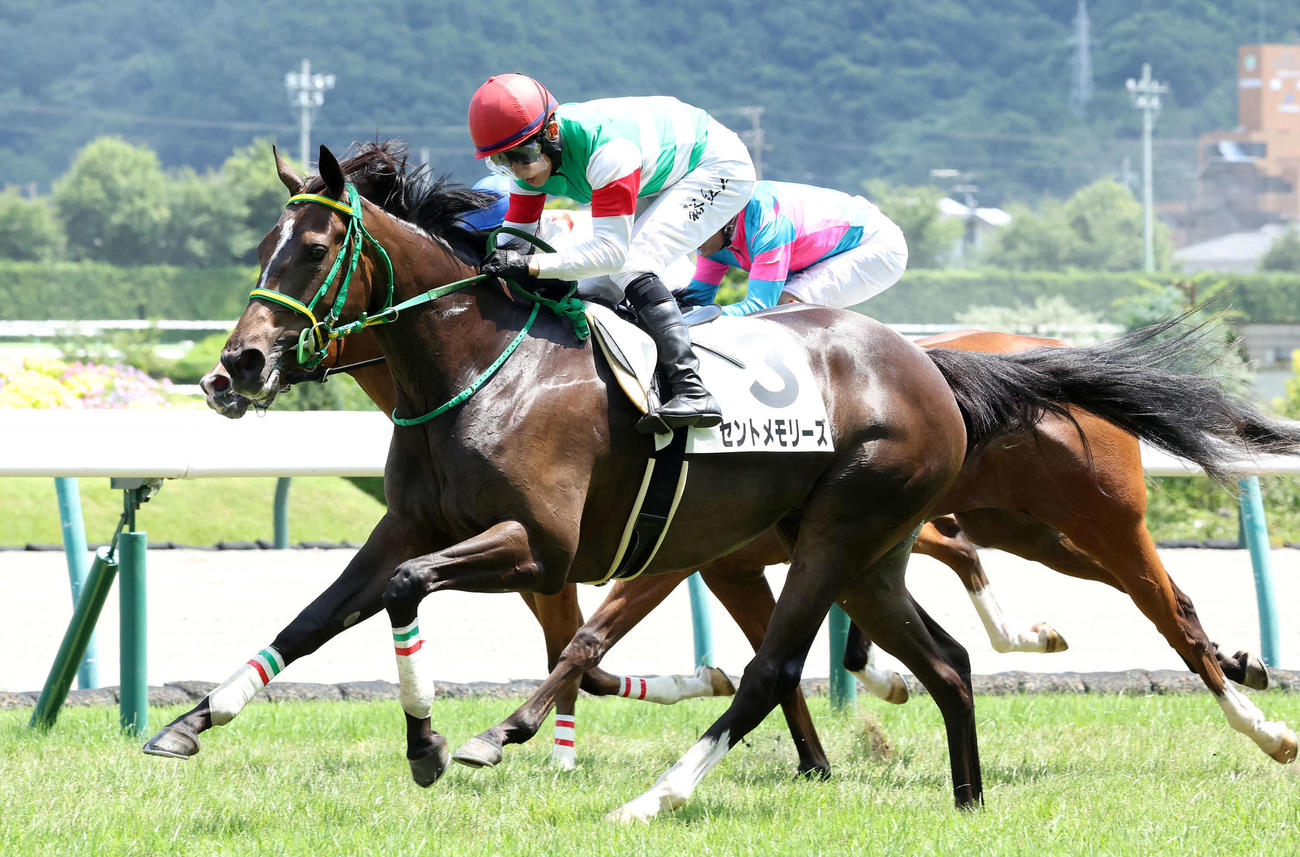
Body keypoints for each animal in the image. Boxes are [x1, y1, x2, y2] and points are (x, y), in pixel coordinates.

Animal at [159, 142, 1298, 821]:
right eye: (262, 243)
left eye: (315, 246)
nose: (234, 368)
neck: (485, 373)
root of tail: (932, 369)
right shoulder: (415, 525)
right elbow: (317, 615)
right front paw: (192, 719)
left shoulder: (549, 545)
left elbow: (509, 623)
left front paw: (443, 739)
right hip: (882, 547)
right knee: (944, 659)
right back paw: (969, 792)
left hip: (927, 526)